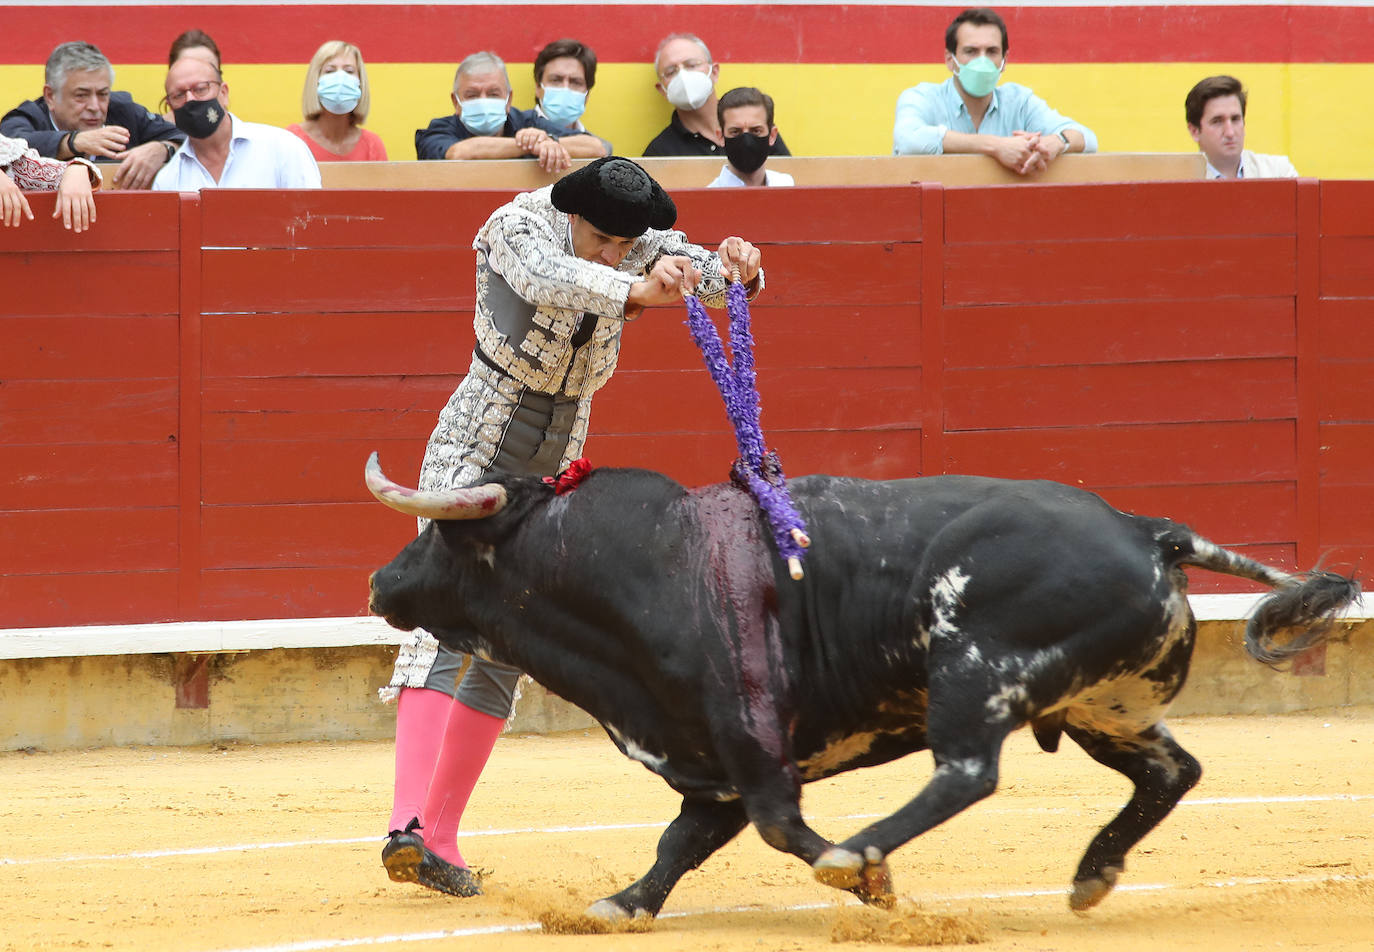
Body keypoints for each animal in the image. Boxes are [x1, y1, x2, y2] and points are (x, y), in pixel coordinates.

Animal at [362, 456, 1352, 923]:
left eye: (438, 536)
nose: (378, 582)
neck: (647, 563)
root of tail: (1149, 530)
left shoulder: (750, 741)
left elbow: (779, 826)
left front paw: (863, 879)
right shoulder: (711, 763)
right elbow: (683, 843)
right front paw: (624, 905)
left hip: (978, 671)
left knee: (967, 772)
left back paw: (863, 851)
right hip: (1103, 704)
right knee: (1171, 772)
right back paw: (1092, 875)